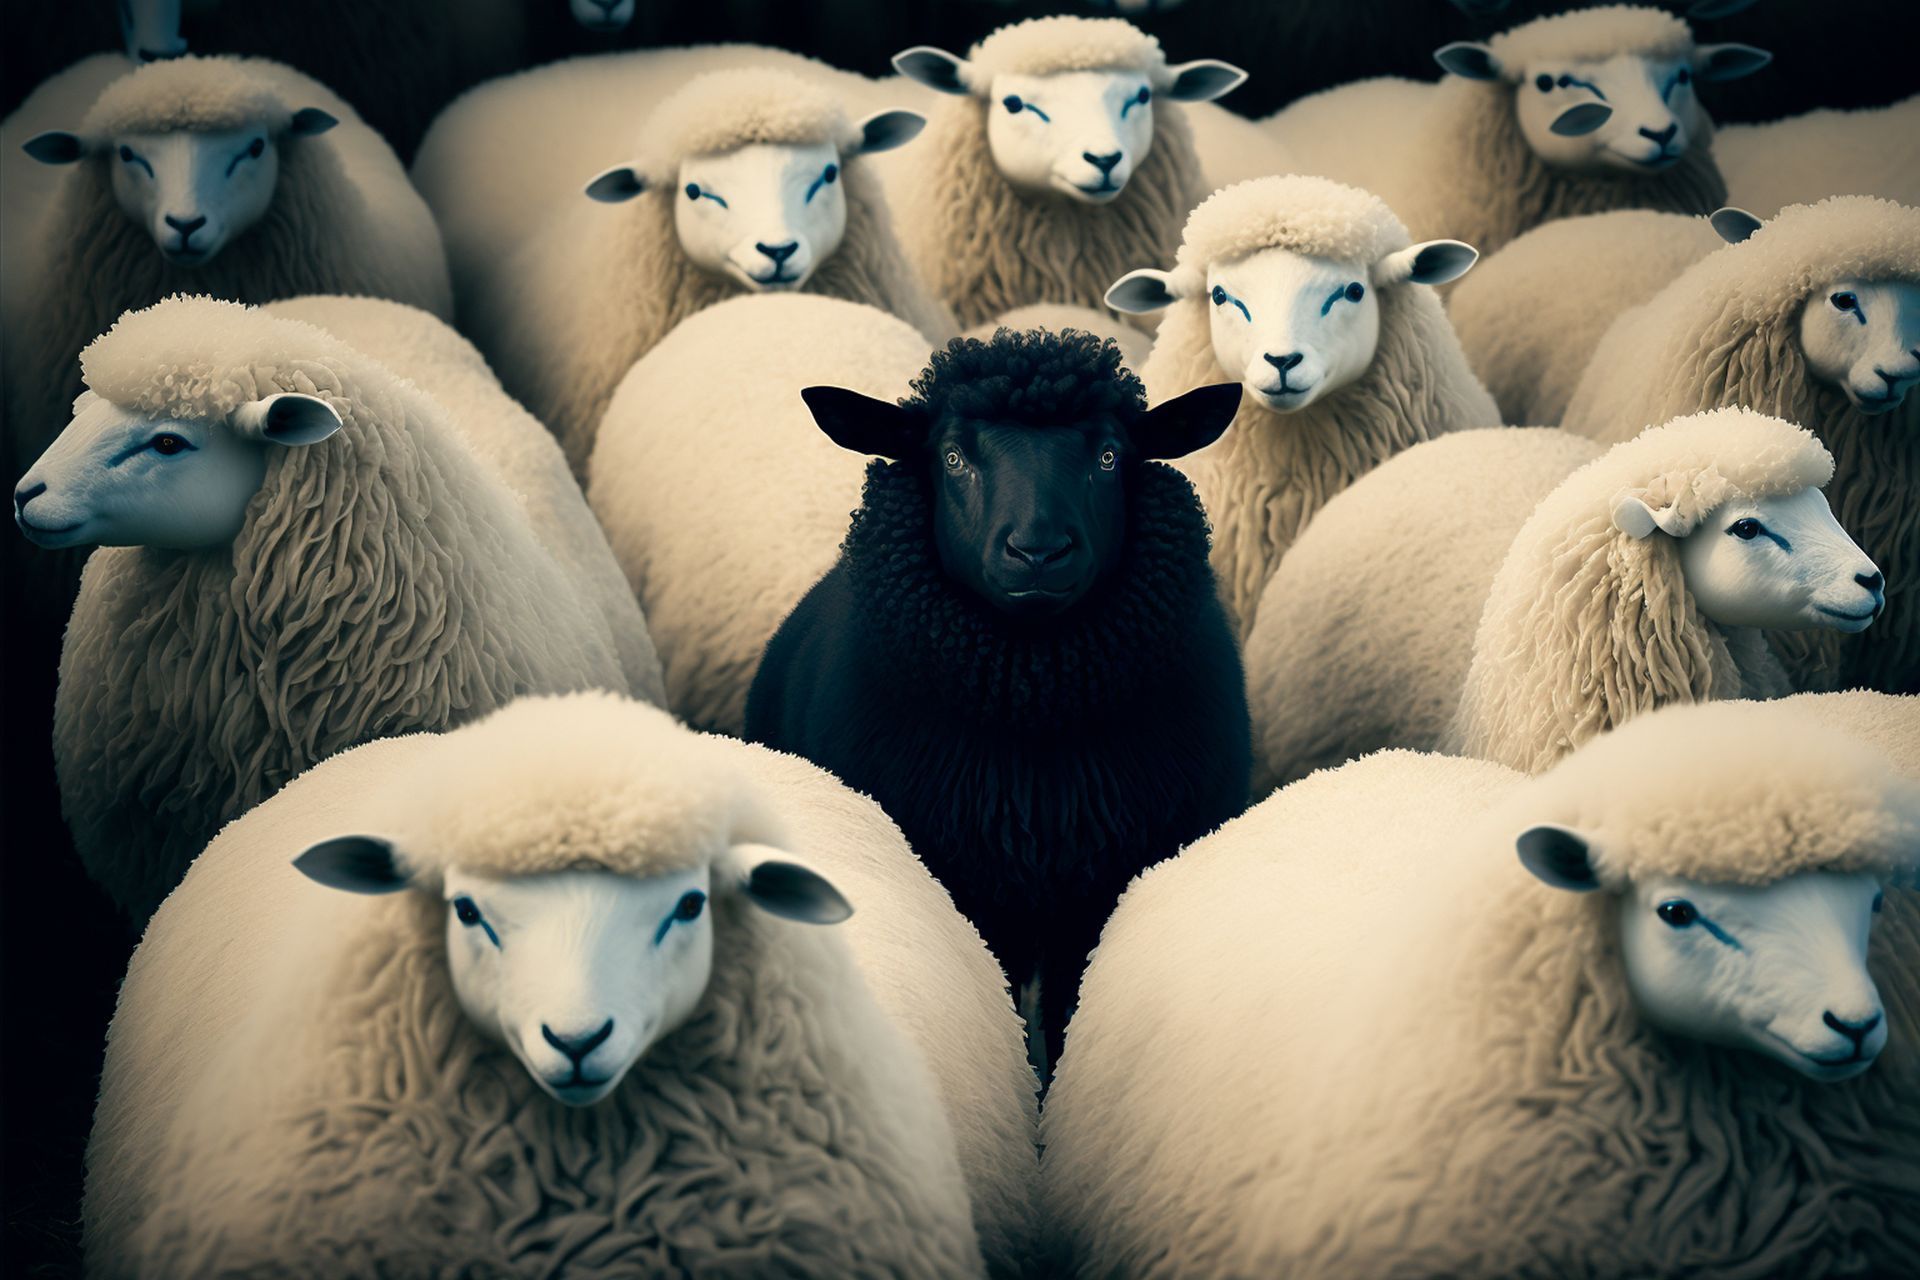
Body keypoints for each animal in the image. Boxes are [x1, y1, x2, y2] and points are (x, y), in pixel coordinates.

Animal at [745, 328, 1250, 1066]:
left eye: (1109, 457)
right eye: (953, 457)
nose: (1038, 550)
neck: (1034, 737)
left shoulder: (1095, 900)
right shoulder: (972, 895)